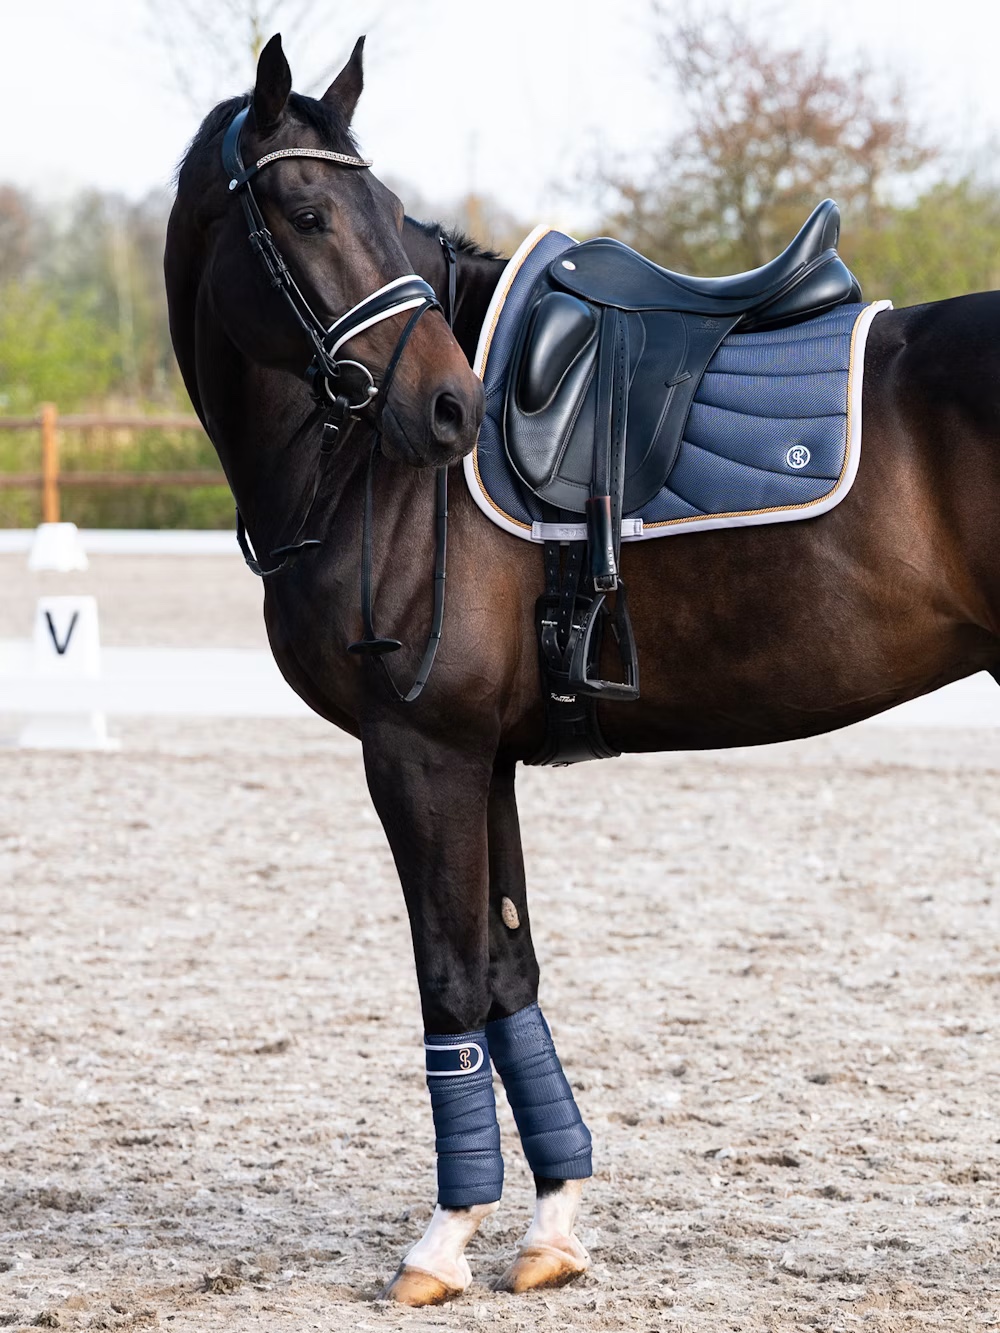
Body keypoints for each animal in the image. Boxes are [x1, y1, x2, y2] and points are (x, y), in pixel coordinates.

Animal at [165, 33, 1000, 1307]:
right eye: (308, 212)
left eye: (379, 214)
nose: (448, 409)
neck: (355, 463)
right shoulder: (488, 756)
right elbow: (511, 975)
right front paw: (552, 1226)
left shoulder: (421, 753)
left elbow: (451, 979)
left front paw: (445, 1238)